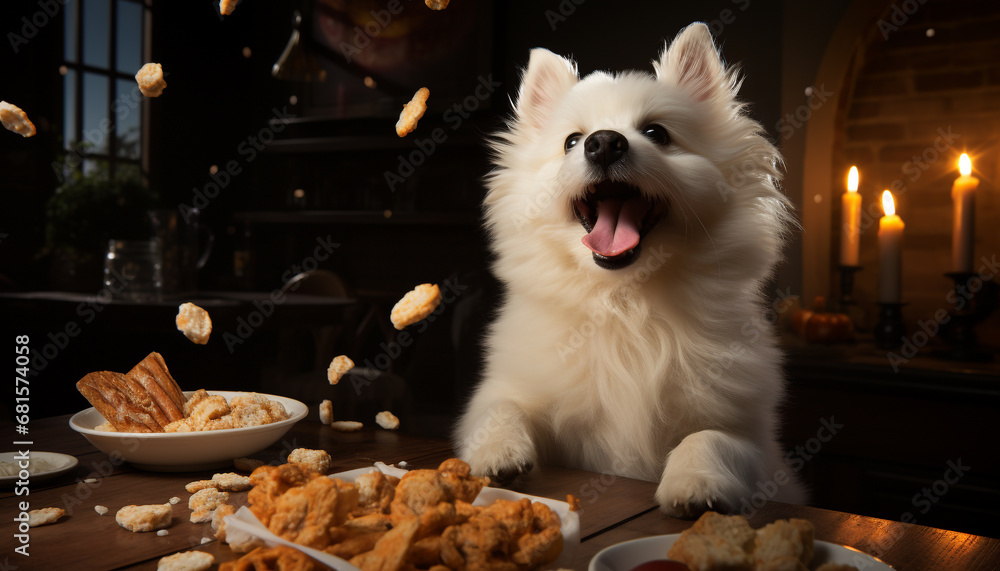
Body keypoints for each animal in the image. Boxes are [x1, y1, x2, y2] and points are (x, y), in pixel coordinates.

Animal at [458, 22, 808, 516]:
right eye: (571, 141)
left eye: (657, 133)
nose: (603, 141)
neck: (624, 300)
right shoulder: (504, 389)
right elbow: (499, 409)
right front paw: (498, 452)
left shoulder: (752, 438)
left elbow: (711, 437)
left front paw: (695, 482)